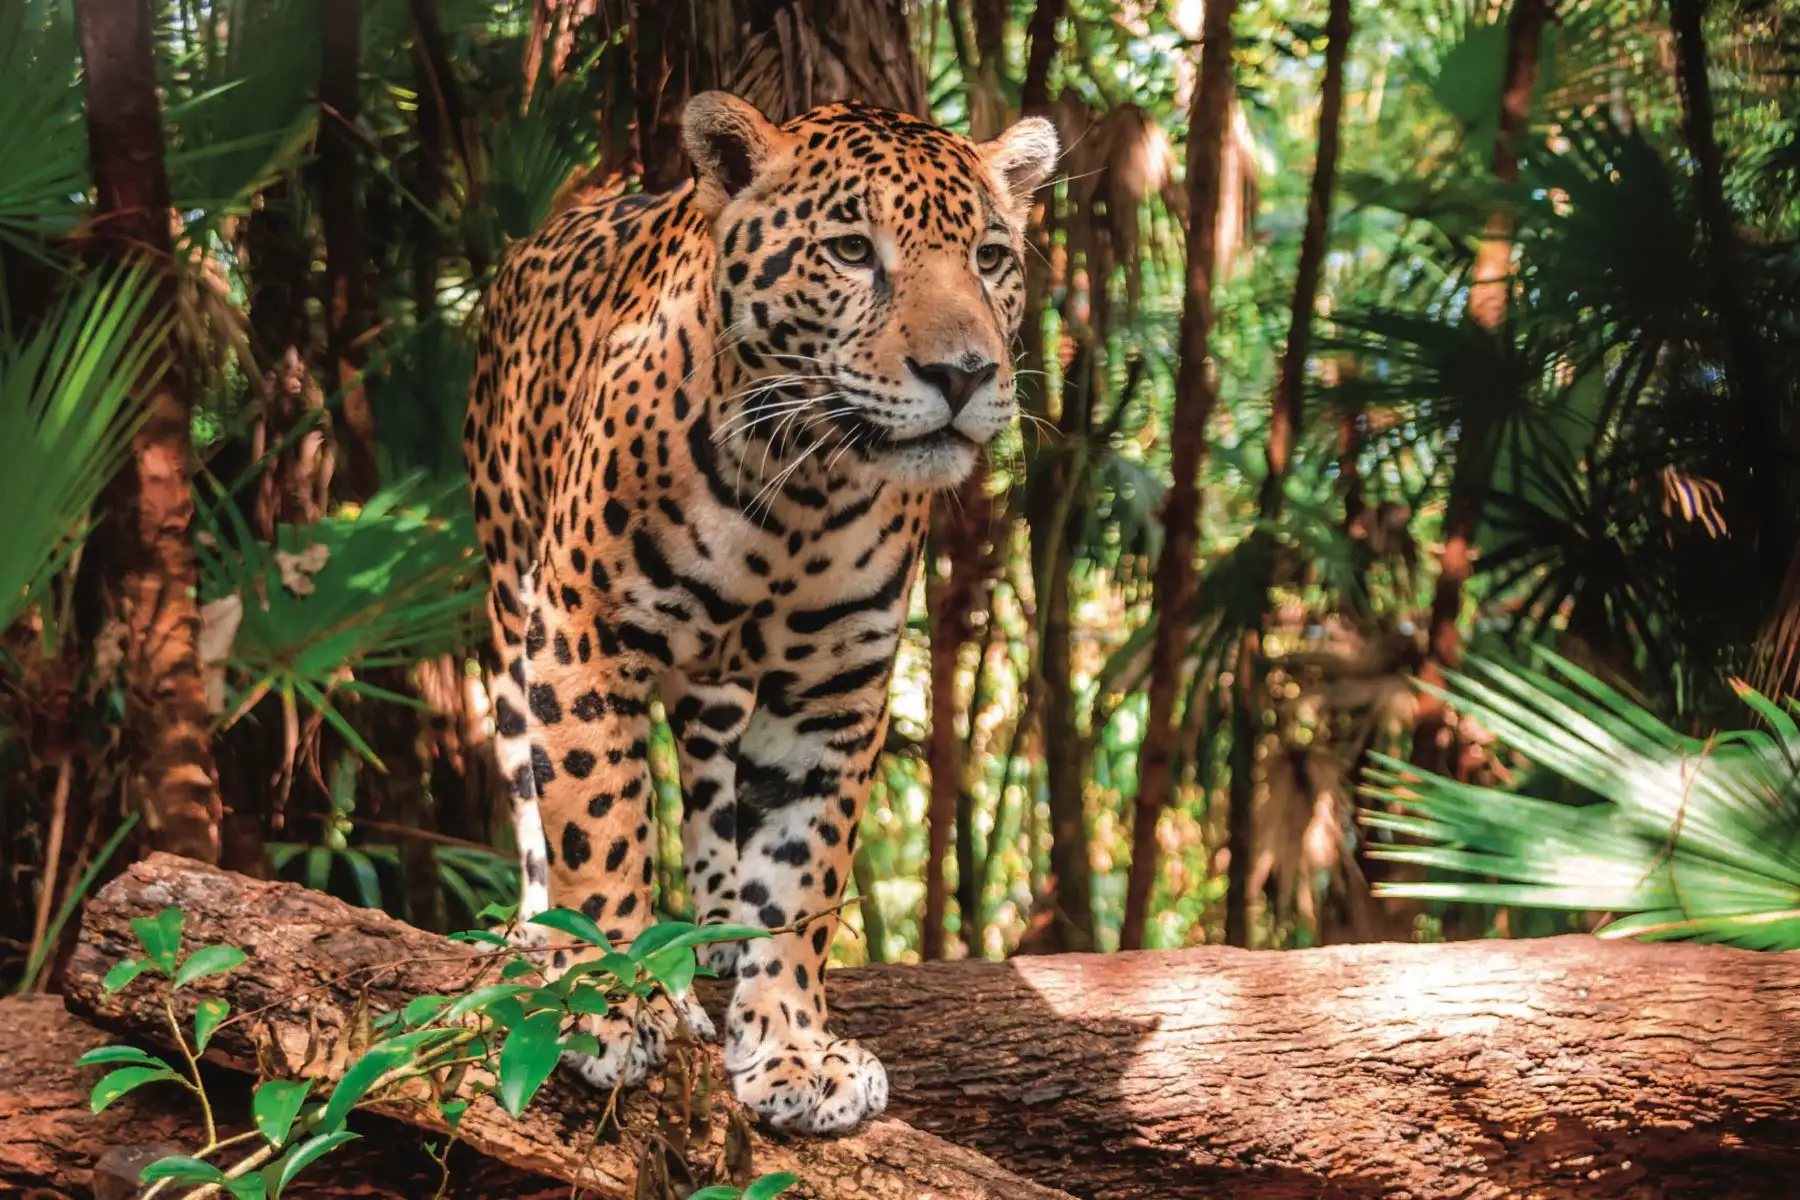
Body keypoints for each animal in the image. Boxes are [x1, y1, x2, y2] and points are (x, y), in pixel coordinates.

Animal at [463, 91, 1058, 1135]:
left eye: (990, 257)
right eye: (853, 251)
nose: (964, 375)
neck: (801, 491)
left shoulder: (834, 691)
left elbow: (800, 868)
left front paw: (792, 1044)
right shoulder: (582, 635)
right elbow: (599, 821)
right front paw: (608, 1003)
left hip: (716, 686)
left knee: (707, 786)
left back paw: (710, 933)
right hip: (509, 604)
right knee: (533, 792)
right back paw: (540, 935)